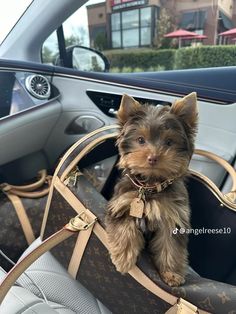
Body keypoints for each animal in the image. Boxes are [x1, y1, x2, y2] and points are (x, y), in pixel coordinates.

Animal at [105, 92, 197, 286]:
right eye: (140, 140)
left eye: (169, 142)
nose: (153, 157)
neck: (149, 186)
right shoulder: (121, 204)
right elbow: (124, 226)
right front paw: (123, 257)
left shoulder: (173, 216)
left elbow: (170, 245)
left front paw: (171, 273)